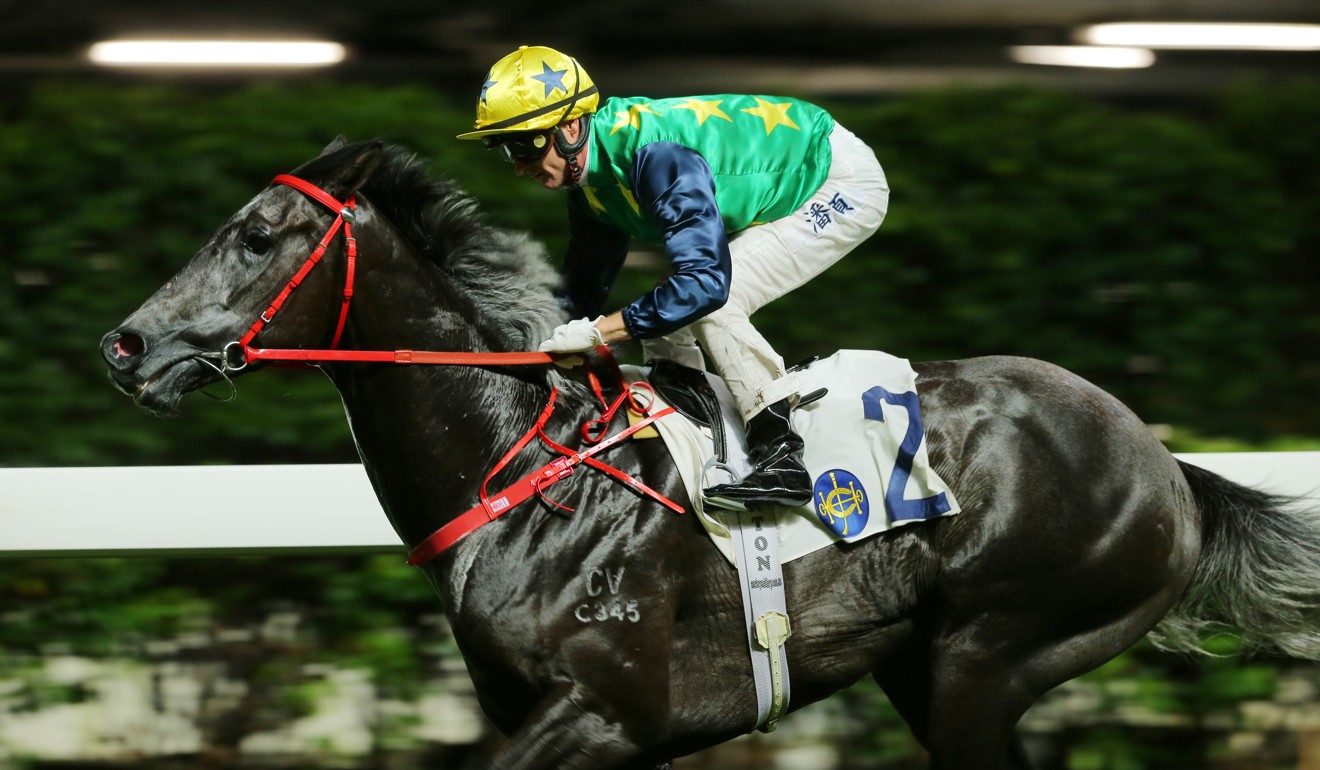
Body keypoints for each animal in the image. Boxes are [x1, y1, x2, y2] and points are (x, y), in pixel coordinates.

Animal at [100, 140, 1320, 770]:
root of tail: (1163, 462)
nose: (128, 344)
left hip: (998, 648)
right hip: (929, 665)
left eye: (257, 236)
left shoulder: (606, 712)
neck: (520, 475)